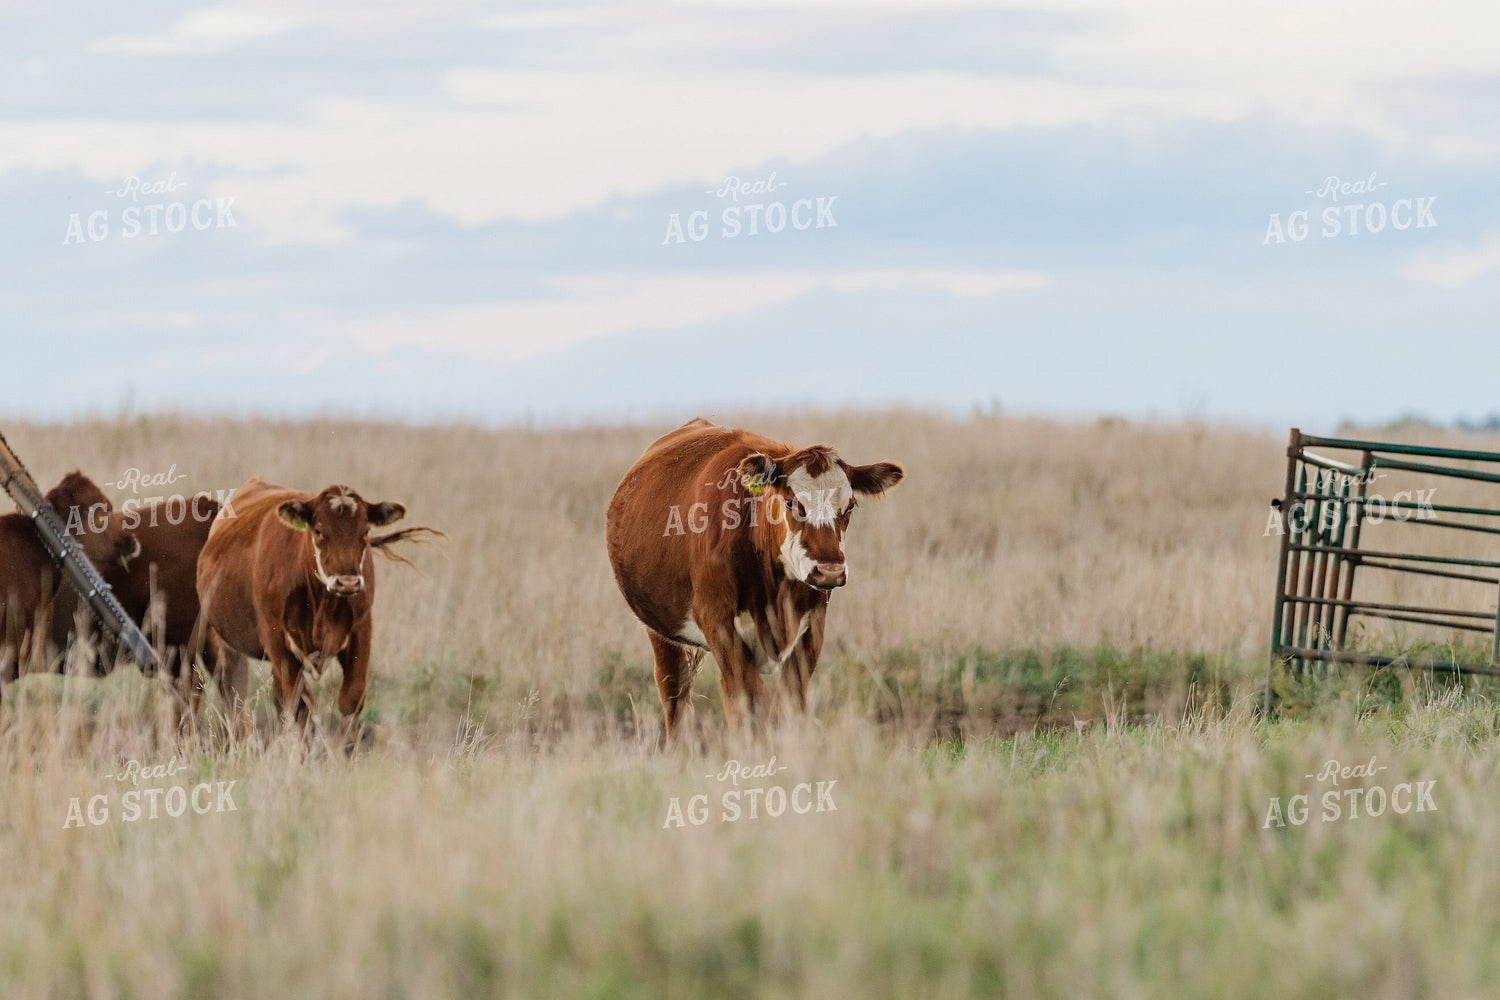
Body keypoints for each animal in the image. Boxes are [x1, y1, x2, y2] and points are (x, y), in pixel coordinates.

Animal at [194, 477, 420, 729]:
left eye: (365, 531)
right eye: (319, 530)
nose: (347, 582)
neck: (324, 606)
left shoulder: (361, 631)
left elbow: (350, 700)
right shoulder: (277, 640)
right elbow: (300, 705)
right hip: (229, 642)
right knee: (234, 688)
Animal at [606, 418, 903, 745]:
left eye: (849, 505)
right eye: (792, 502)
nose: (829, 570)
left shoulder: (812, 628)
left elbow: (788, 705)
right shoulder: (719, 626)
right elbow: (751, 706)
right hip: (661, 631)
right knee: (674, 695)